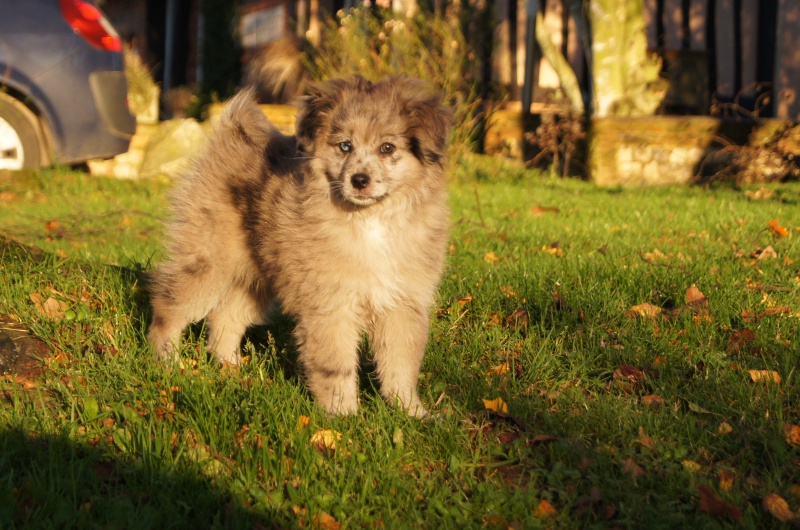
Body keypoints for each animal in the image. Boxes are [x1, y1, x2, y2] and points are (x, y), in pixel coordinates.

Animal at [148, 76, 454, 414]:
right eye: (345, 146)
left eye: (388, 148)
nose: (359, 180)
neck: (370, 219)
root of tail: (229, 134)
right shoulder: (330, 305)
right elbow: (335, 365)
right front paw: (343, 415)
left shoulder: (402, 303)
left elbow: (401, 364)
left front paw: (409, 411)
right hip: (209, 262)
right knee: (168, 306)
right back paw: (167, 363)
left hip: (255, 278)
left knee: (226, 318)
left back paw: (232, 370)